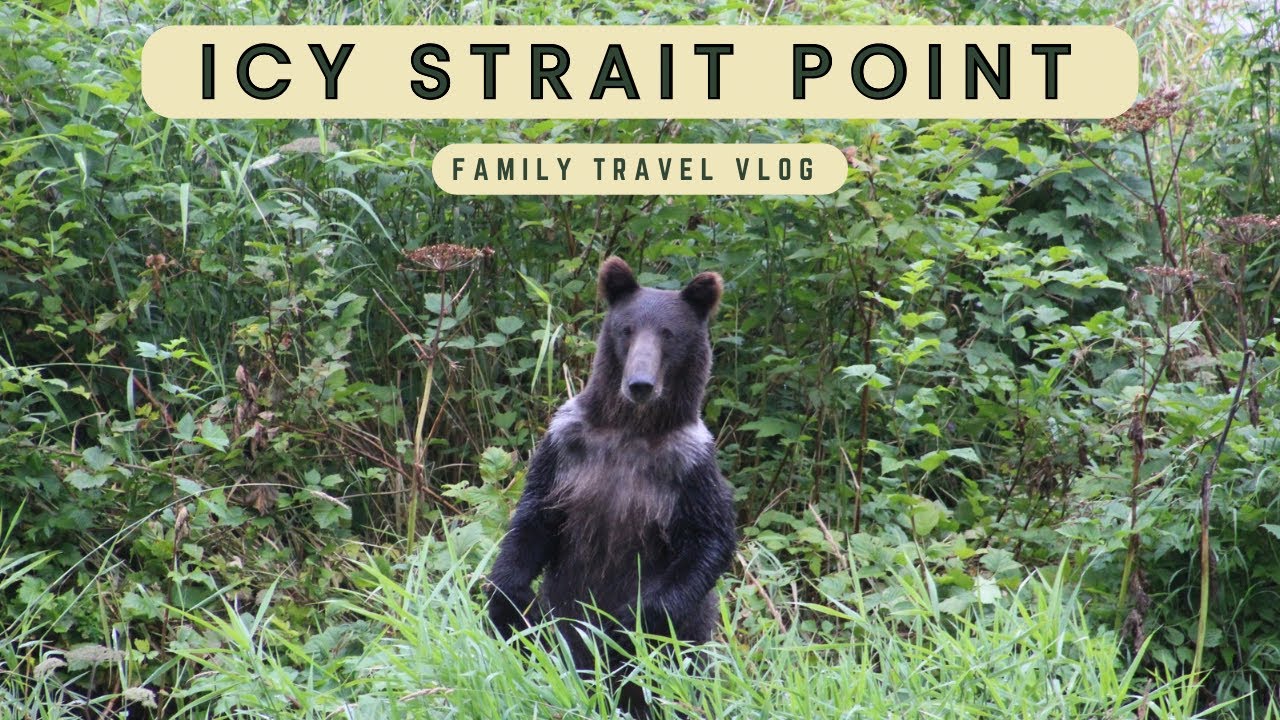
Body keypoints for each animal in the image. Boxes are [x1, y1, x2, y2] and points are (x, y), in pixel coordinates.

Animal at [486, 256, 736, 717]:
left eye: (668, 333)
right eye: (627, 329)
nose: (640, 384)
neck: (630, 430)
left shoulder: (690, 466)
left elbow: (709, 541)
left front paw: (628, 623)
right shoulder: (565, 447)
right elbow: (534, 518)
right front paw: (508, 599)